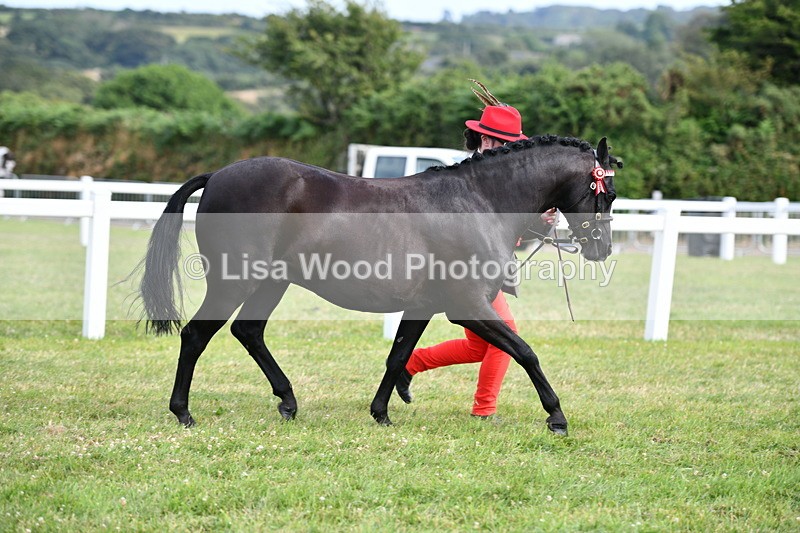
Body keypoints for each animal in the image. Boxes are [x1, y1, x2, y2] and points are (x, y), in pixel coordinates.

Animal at [138, 135, 620, 435]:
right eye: (608, 195)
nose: (602, 249)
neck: (479, 202)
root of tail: (218, 176)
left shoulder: (422, 306)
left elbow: (397, 356)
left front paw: (382, 413)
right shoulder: (466, 306)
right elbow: (525, 352)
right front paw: (557, 416)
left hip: (271, 282)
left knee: (249, 331)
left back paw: (288, 401)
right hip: (233, 281)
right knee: (197, 334)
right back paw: (184, 412)